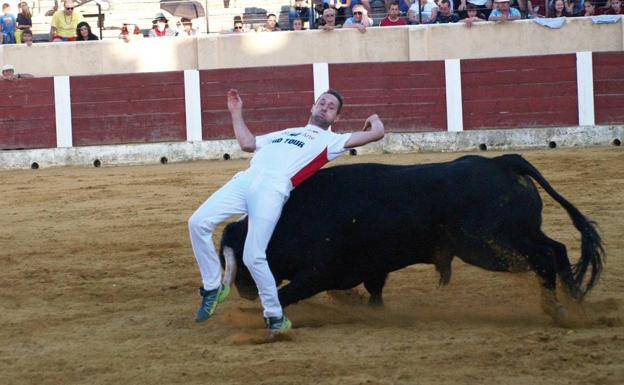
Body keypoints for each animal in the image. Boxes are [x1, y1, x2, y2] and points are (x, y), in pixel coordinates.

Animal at [219, 154, 604, 320]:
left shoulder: (318, 272)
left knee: (543, 257)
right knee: (556, 249)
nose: (243, 290)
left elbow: (287, 293)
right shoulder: (371, 267)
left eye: (239, 258)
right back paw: (575, 300)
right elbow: (374, 290)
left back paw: (555, 309)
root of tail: (502, 162)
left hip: (489, 245)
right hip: (519, 233)